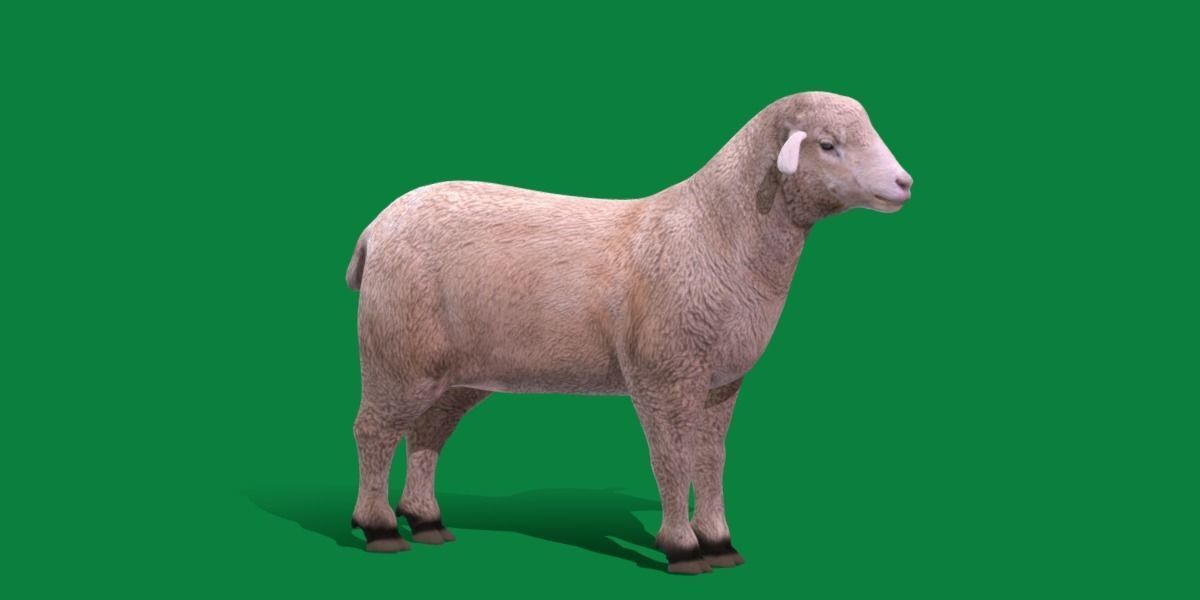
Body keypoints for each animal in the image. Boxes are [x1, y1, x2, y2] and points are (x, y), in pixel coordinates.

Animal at [345, 91, 913, 574]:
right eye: (828, 144)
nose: (905, 183)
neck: (717, 230)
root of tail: (375, 228)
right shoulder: (663, 373)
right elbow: (672, 459)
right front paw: (683, 548)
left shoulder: (721, 381)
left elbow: (711, 459)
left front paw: (720, 542)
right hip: (397, 351)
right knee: (373, 430)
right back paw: (379, 528)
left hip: (454, 373)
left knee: (427, 433)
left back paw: (426, 520)